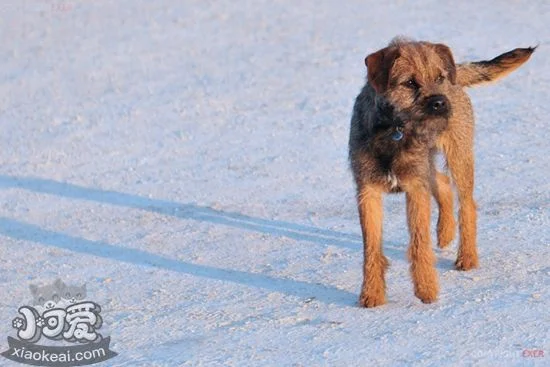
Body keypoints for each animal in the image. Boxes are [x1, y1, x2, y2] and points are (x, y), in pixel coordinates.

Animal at [352, 37, 536, 308]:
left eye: (438, 78)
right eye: (409, 83)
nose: (440, 103)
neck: (393, 130)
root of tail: (456, 72)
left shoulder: (415, 189)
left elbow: (419, 243)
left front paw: (426, 289)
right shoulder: (368, 192)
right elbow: (371, 248)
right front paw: (372, 294)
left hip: (459, 157)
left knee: (467, 204)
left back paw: (467, 257)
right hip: (428, 165)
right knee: (442, 182)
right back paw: (445, 231)